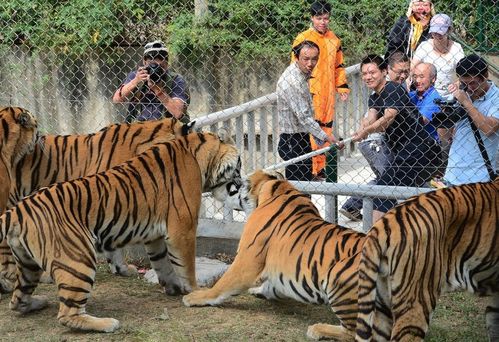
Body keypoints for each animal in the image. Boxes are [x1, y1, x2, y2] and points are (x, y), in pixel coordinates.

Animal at [184, 170, 368, 340]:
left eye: (234, 184)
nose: (215, 190)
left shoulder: (247, 258)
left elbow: (223, 284)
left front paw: (195, 297)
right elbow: (273, 285)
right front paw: (258, 290)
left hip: (339, 276)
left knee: (352, 332)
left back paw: (317, 329)